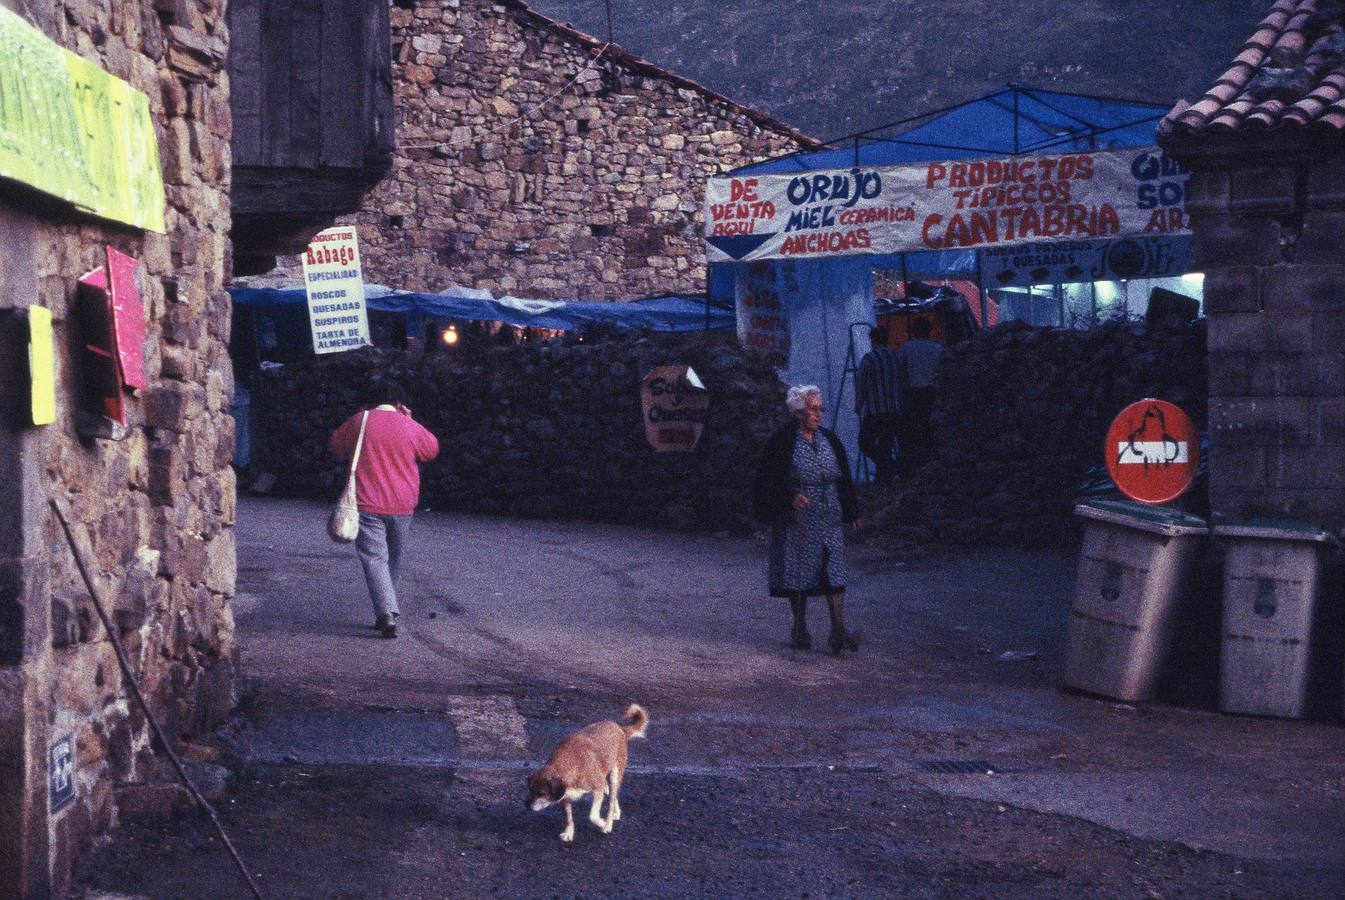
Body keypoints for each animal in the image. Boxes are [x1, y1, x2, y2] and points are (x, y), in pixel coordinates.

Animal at [521, 699, 648, 844]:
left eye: (541, 793)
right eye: (530, 790)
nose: (526, 804)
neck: (569, 765)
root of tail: (620, 728)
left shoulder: (597, 789)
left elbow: (592, 816)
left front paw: (602, 823)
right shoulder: (565, 797)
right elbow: (569, 819)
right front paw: (569, 833)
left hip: (614, 778)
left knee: (610, 801)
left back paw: (608, 823)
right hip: (605, 782)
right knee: (612, 796)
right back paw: (616, 813)